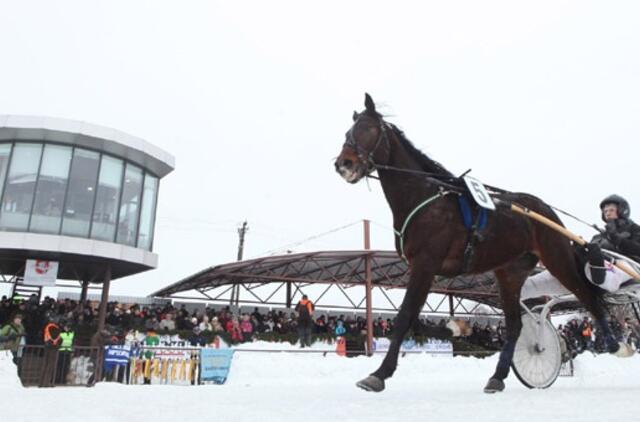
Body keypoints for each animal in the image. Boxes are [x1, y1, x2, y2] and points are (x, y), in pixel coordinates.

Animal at [338, 93, 628, 392]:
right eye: (348, 132)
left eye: (368, 129)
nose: (343, 164)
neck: (425, 199)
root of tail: (545, 210)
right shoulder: (421, 269)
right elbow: (416, 320)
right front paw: (455, 328)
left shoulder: (425, 265)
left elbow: (405, 315)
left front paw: (379, 374)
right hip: (510, 273)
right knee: (515, 325)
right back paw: (497, 377)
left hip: (556, 258)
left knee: (587, 296)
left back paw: (615, 344)